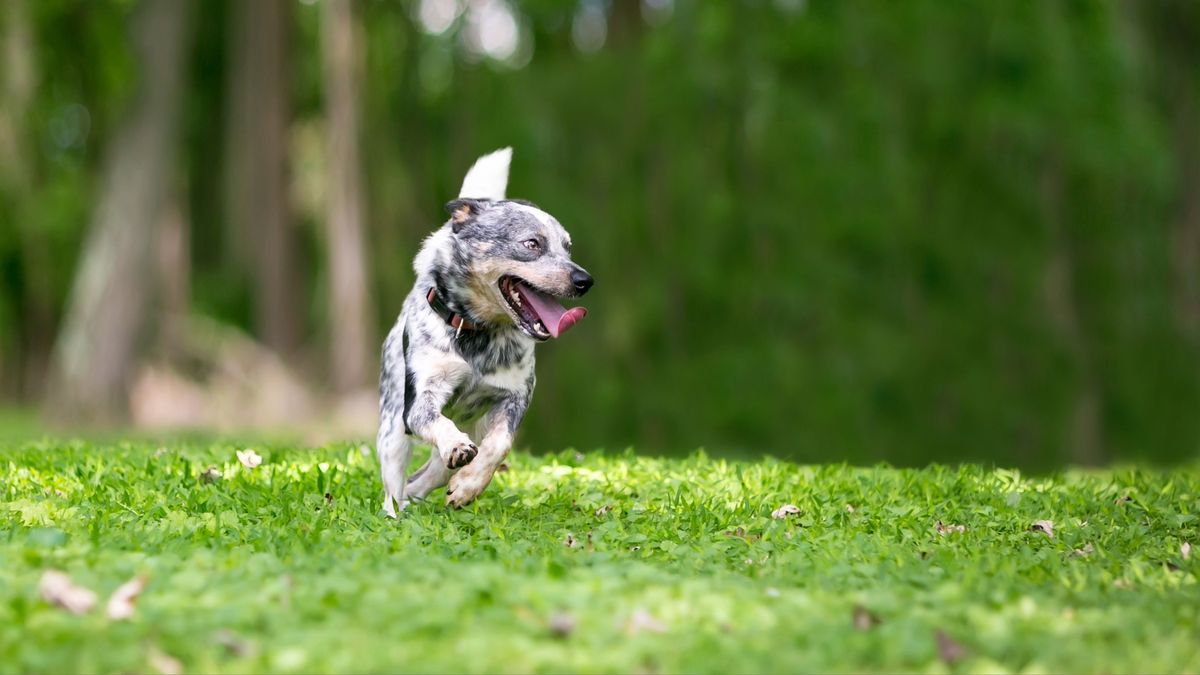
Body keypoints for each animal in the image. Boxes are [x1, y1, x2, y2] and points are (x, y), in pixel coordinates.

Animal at [376, 148, 592, 514]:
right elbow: (436, 422)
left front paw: (468, 486)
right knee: (395, 484)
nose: (584, 280)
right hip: (392, 431)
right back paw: (395, 513)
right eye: (532, 244)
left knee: (425, 477)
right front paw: (455, 447)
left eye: (567, 247)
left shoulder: (515, 396)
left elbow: (500, 444)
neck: (478, 333)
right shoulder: (419, 402)